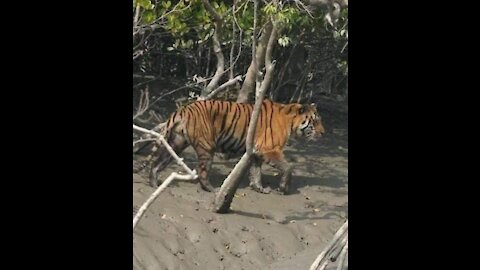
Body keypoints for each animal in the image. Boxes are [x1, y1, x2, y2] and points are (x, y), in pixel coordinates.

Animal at [136, 98, 326, 194]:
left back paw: (154, 184)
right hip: (207, 146)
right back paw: (211, 189)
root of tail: (183, 109)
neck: (290, 123)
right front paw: (283, 188)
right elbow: (288, 167)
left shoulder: (256, 152)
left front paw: (259, 188)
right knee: (202, 171)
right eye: (315, 121)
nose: (323, 133)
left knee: (157, 163)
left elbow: (255, 172)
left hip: (176, 143)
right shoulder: (270, 149)